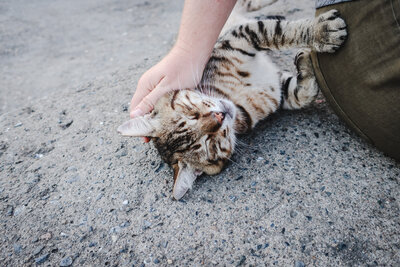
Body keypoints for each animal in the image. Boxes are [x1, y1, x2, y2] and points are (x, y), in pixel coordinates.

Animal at [118, 1, 346, 200]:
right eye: (209, 143)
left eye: (192, 114)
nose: (220, 116)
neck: (235, 98)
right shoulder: (280, 91)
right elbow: (302, 95)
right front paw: (308, 65)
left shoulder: (242, 36)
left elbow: (279, 32)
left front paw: (320, 31)